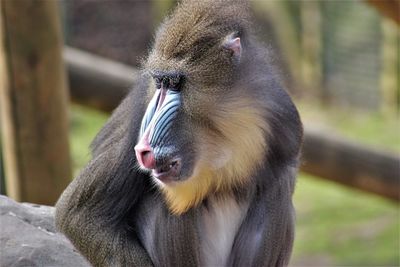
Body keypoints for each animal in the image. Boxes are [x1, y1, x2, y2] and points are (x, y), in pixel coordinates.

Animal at [54, 0, 302, 266]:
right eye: (159, 83)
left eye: (174, 83)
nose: (143, 149)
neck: (221, 126)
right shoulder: (136, 122)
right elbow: (80, 214)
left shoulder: (285, 120)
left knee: (277, 184)